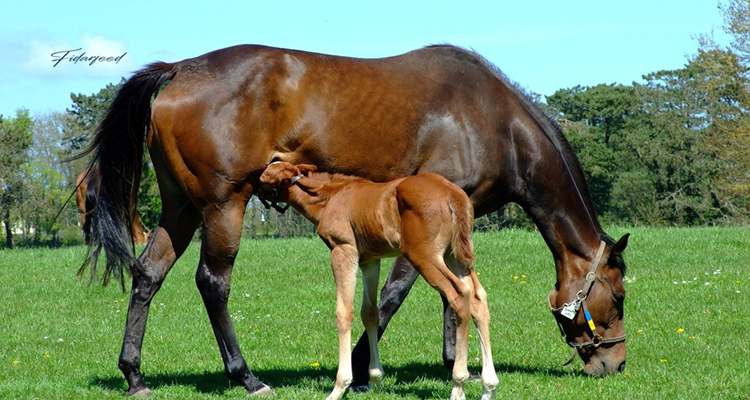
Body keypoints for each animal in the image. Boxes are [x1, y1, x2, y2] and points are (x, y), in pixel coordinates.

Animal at [258, 161, 498, 400]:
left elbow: (344, 312)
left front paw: (339, 387)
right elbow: (370, 313)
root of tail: (452, 192)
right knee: (478, 297)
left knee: (459, 295)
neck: (330, 197)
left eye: (264, 176)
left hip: (424, 255)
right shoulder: (370, 261)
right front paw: (375, 380)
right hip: (454, 254)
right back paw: (489, 386)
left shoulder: (343, 250)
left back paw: (459, 384)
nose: (256, 189)